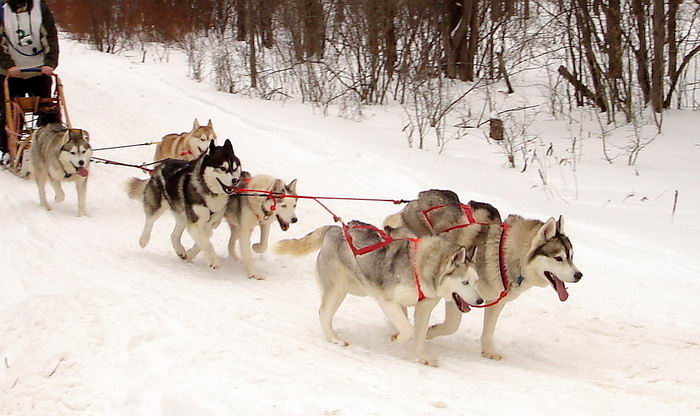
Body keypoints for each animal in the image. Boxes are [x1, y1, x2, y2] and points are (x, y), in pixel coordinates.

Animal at [127, 140, 242, 270]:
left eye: (235, 168)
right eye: (222, 168)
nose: (235, 180)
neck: (211, 193)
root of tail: (160, 165)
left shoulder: (210, 224)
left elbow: (203, 240)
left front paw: (190, 254)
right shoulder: (195, 223)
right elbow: (207, 244)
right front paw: (213, 260)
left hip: (182, 215)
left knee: (174, 235)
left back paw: (181, 251)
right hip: (158, 204)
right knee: (150, 221)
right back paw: (144, 240)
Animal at [276, 223, 484, 366]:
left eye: (476, 282)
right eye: (464, 282)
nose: (480, 300)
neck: (421, 268)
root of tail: (333, 229)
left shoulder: (423, 308)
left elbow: (418, 334)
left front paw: (421, 357)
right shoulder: (387, 301)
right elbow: (408, 329)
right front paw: (396, 339)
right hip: (337, 290)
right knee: (323, 313)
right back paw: (334, 339)